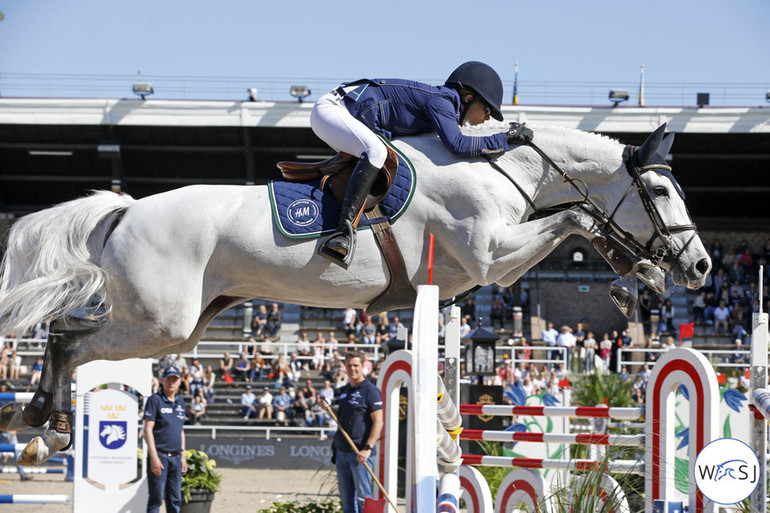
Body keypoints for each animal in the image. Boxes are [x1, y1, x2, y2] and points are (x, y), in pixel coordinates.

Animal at [0, 122, 708, 462]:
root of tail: (125, 209)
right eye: (661, 190)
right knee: (66, 337)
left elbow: (577, 220)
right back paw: (43, 426)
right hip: (161, 322)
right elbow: (575, 218)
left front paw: (640, 276)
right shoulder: (493, 257)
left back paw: (40, 423)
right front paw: (638, 273)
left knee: (70, 338)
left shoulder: (473, 276)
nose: (700, 267)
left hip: (181, 325)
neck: (504, 168)